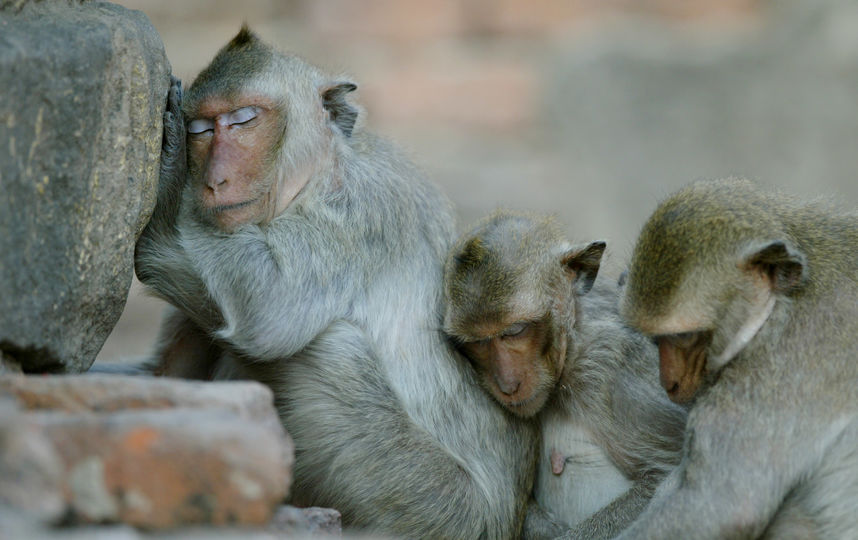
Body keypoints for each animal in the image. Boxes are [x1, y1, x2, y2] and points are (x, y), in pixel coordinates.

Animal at [134, 28, 541, 538]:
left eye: (244, 120)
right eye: (202, 130)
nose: (213, 181)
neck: (314, 178)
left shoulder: (355, 213)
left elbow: (271, 311)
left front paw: (170, 186)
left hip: (430, 500)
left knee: (332, 347)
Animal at [442, 211, 688, 539]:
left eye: (514, 331)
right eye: (477, 343)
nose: (507, 384)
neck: (572, 348)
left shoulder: (612, 368)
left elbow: (668, 475)